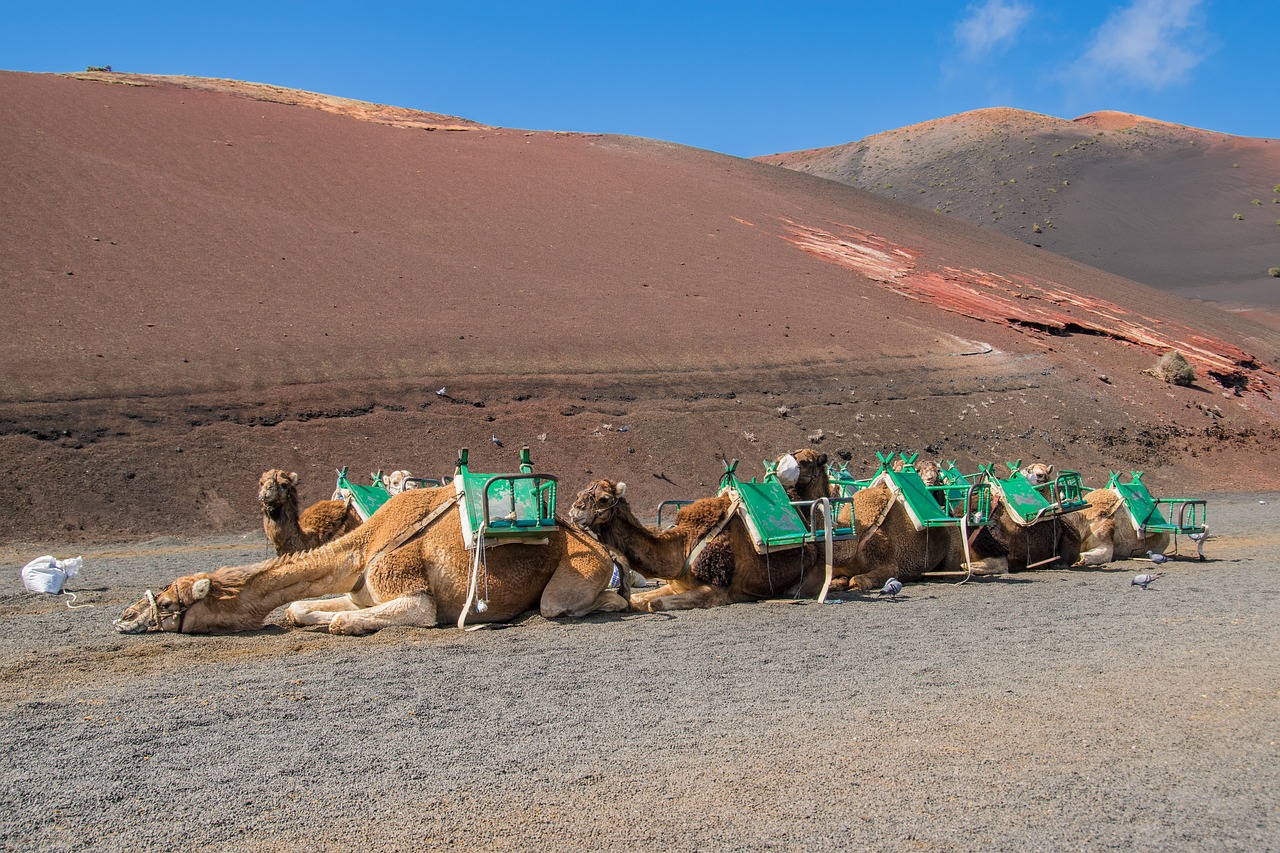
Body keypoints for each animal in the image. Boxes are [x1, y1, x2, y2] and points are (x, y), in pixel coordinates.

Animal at [117, 481, 627, 635]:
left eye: (168, 603)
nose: (124, 617)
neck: (364, 546)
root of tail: (597, 545)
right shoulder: (360, 591)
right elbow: (298, 608)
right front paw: (313, 616)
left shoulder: (413, 594)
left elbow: (352, 620)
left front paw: (337, 625)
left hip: (577, 571)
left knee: (567, 603)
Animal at [565, 473, 824, 607]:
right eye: (579, 493)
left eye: (604, 498)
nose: (574, 510)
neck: (683, 546)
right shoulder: (677, 584)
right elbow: (640, 598)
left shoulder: (718, 590)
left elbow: (655, 604)